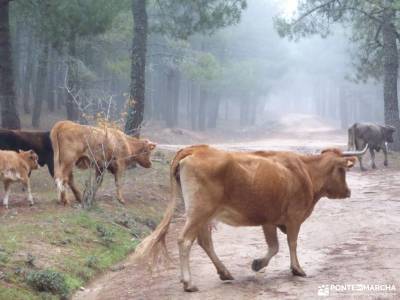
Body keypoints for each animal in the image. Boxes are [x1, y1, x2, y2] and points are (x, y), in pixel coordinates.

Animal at [136, 144, 368, 292]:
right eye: (342, 170)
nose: (348, 191)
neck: (305, 171)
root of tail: (196, 148)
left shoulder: (269, 220)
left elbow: (274, 246)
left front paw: (258, 264)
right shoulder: (293, 217)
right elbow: (291, 243)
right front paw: (297, 269)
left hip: (203, 214)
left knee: (204, 241)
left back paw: (225, 273)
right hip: (199, 211)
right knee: (185, 241)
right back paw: (189, 283)